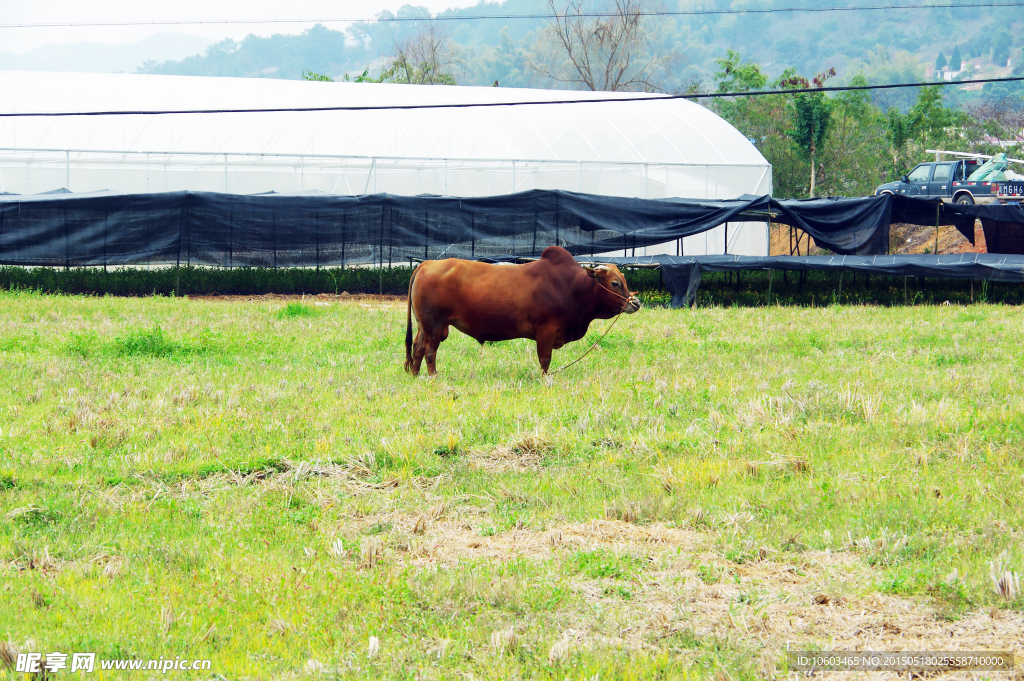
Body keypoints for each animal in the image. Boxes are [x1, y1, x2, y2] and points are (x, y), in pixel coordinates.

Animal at [401, 244, 634, 374]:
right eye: (615, 283)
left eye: (624, 280)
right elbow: (545, 360)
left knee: (418, 347)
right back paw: (433, 376)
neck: (571, 286)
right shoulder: (546, 330)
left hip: (424, 325)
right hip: (434, 324)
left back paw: (415, 375)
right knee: (430, 350)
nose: (635, 303)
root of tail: (427, 263)